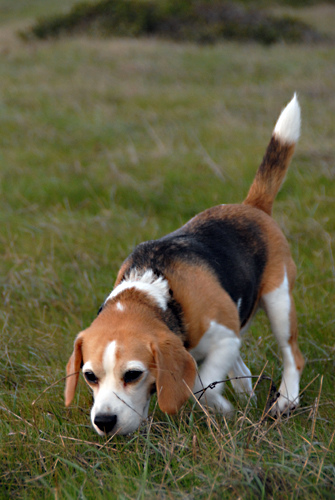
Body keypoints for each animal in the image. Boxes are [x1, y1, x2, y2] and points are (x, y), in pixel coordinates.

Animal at [65, 95, 304, 436]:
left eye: (133, 374)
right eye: (90, 376)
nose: (104, 421)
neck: (158, 293)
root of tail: (252, 206)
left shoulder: (224, 338)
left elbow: (201, 384)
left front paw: (220, 407)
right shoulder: (225, 338)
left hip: (279, 301)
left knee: (291, 355)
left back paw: (285, 400)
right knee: (244, 367)